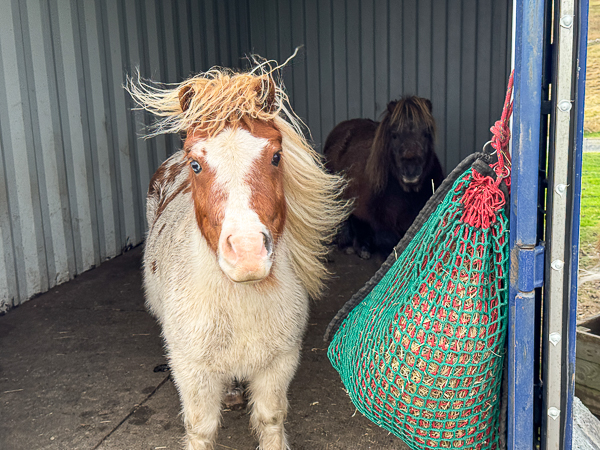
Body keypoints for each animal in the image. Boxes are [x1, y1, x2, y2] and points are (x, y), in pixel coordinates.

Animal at [127, 63, 348, 450]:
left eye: (276, 156)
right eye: (196, 164)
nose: (247, 254)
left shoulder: (278, 365)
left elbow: (270, 419)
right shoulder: (192, 371)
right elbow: (201, 429)